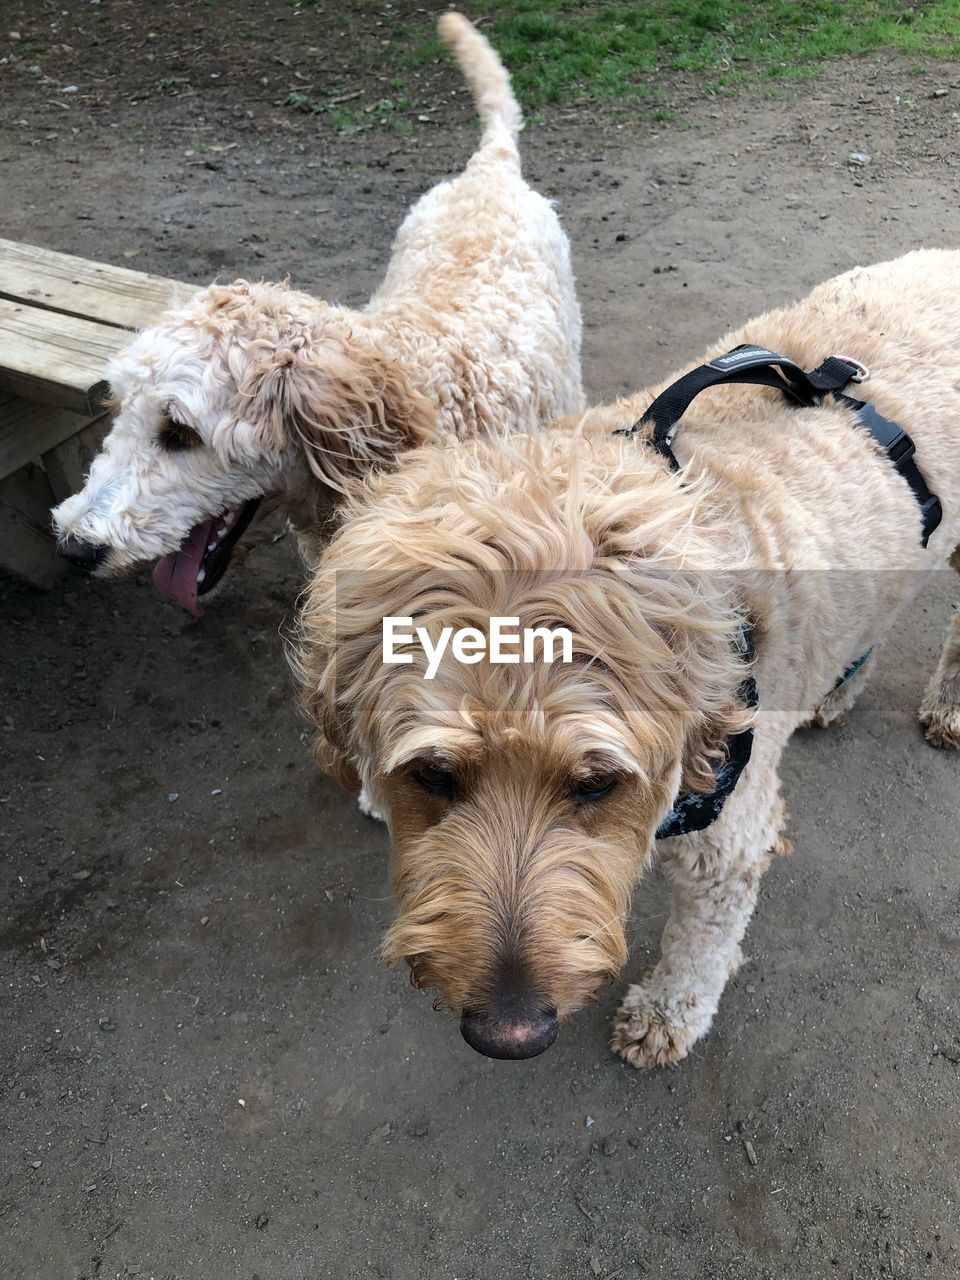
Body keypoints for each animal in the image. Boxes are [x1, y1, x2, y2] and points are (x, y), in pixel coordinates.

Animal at [293, 244, 960, 1064]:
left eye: (597, 783)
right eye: (432, 775)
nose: (508, 1033)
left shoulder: (728, 845)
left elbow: (703, 942)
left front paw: (668, 1012)